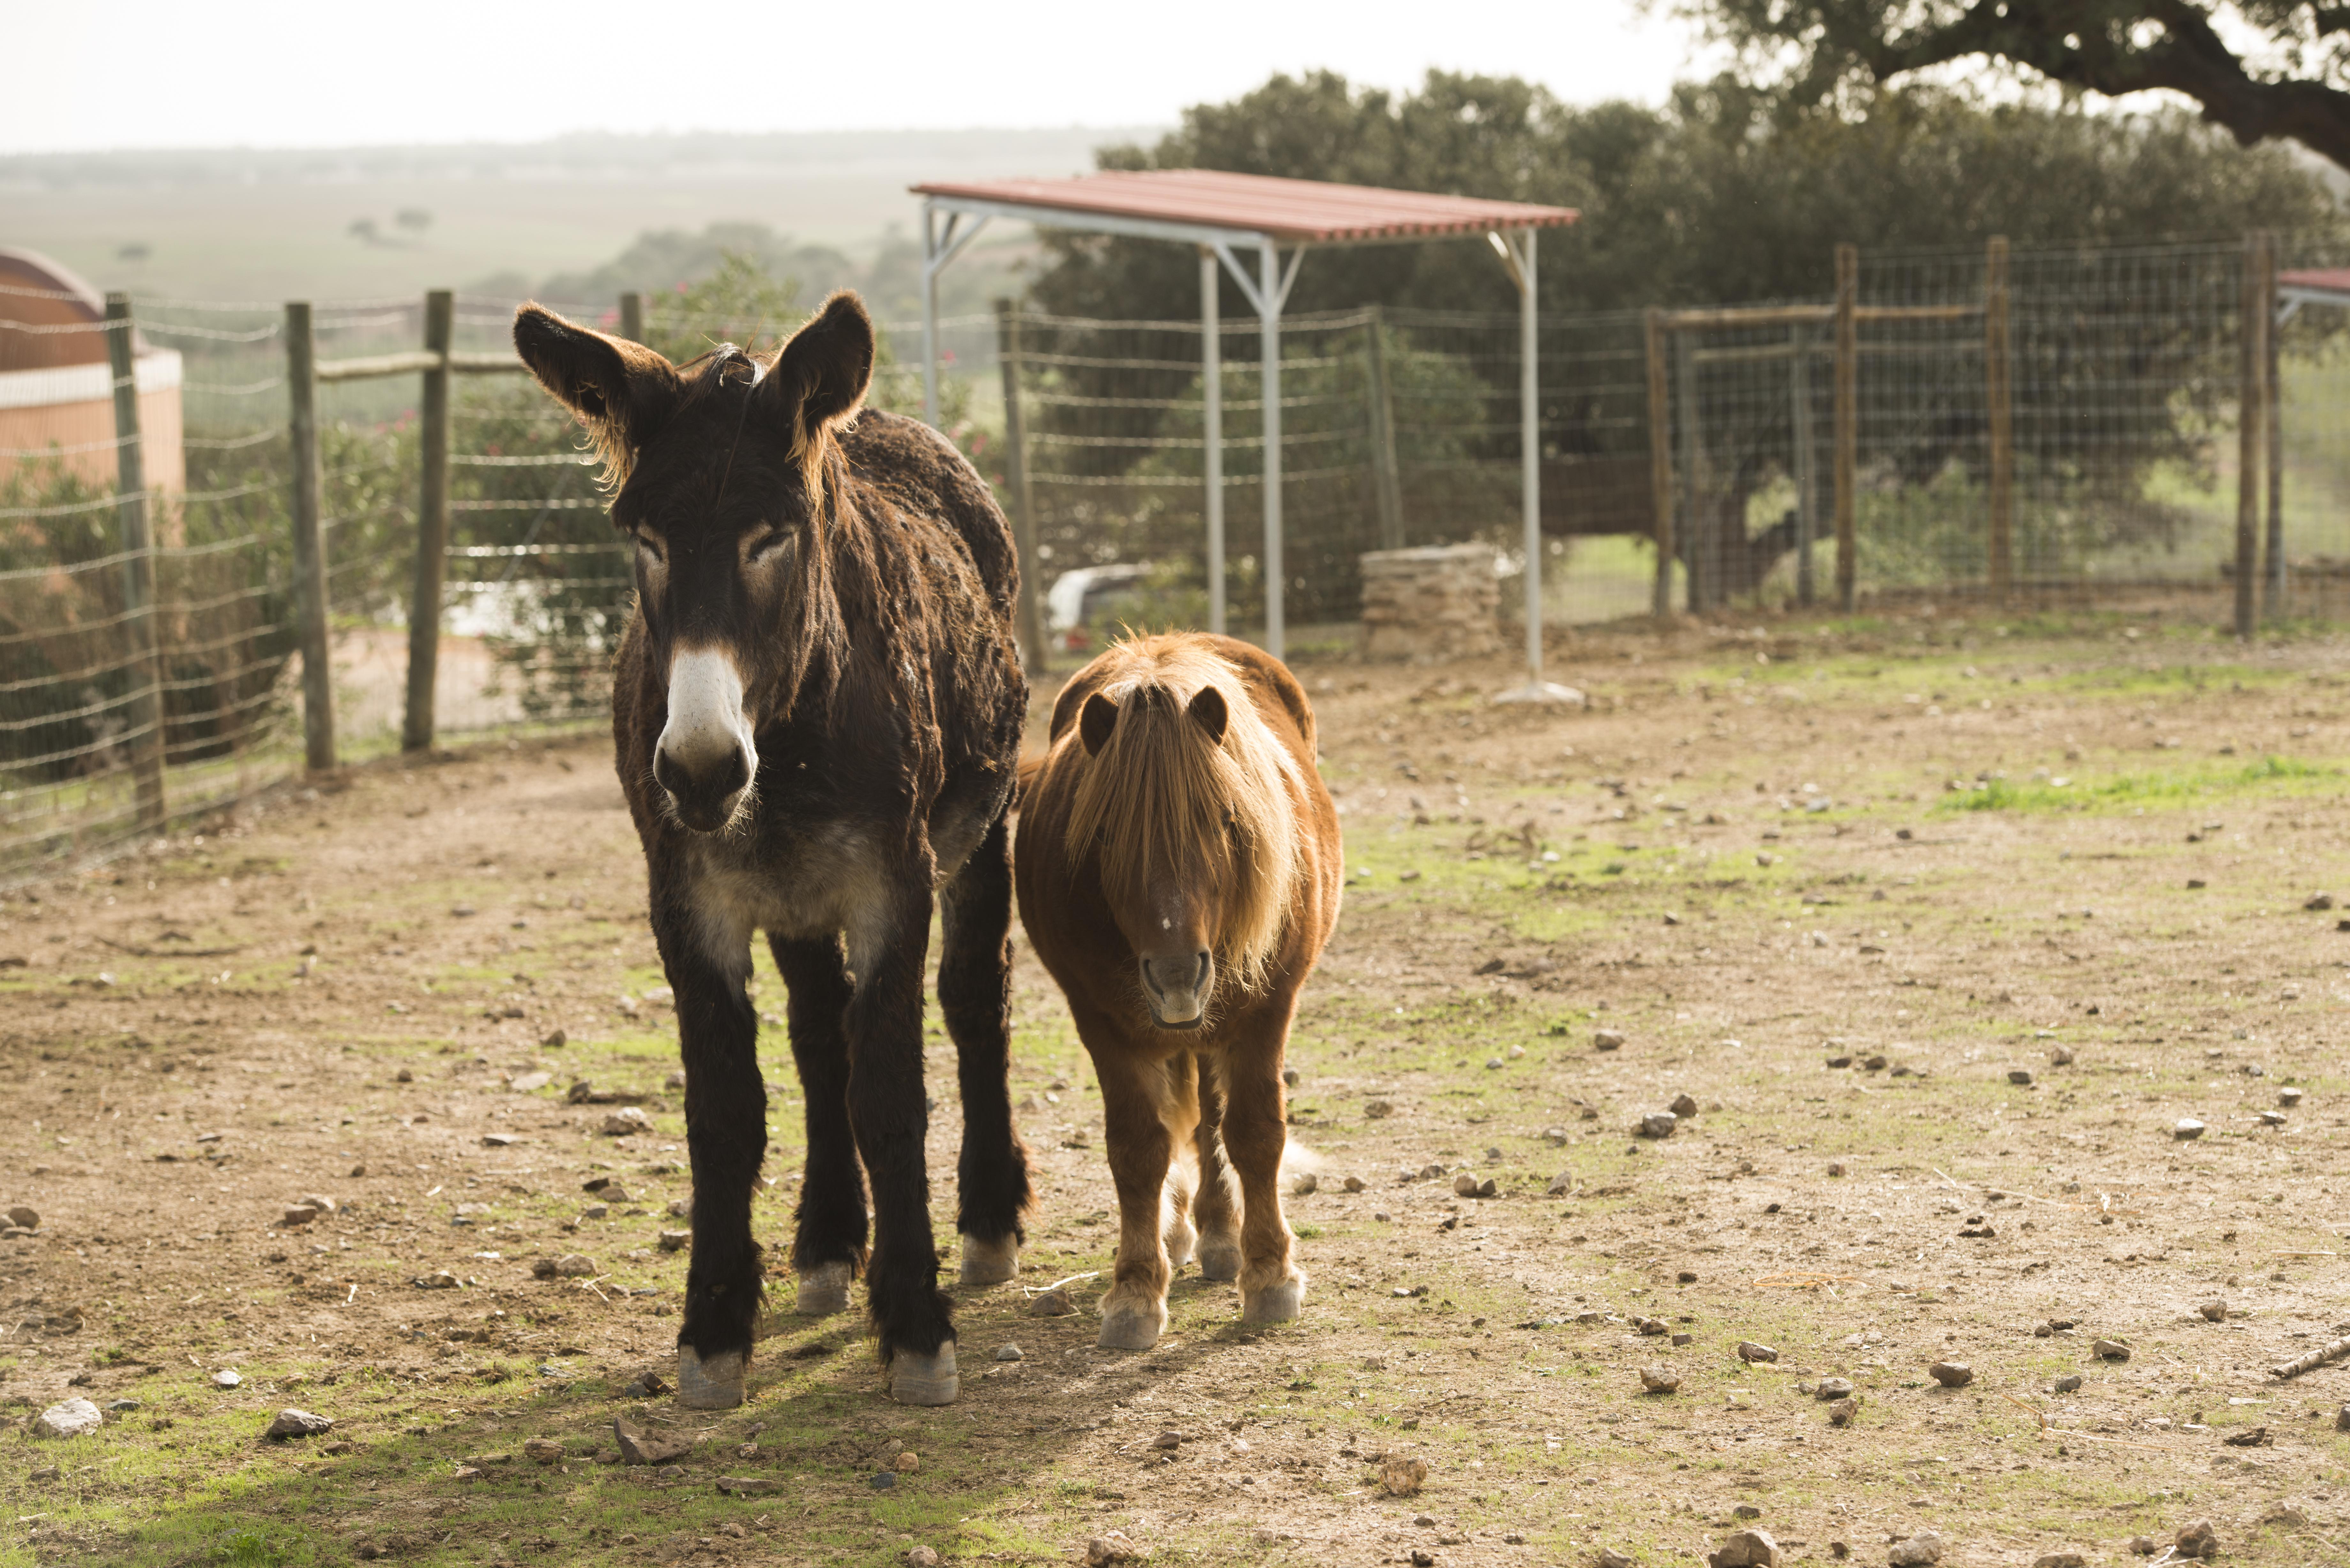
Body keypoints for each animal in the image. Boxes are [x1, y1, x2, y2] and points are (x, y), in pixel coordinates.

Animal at [1015, 635, 1344, 1354]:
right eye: (1106, 831)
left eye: (1224, 819)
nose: (1174, 974)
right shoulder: (1101, 1022)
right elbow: (1138, 1148)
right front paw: (1136, 1290)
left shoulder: (1266, 1011)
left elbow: (1254, 1133)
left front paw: (1270, 1274)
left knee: (1214, 1118)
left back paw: (1223, 1235)